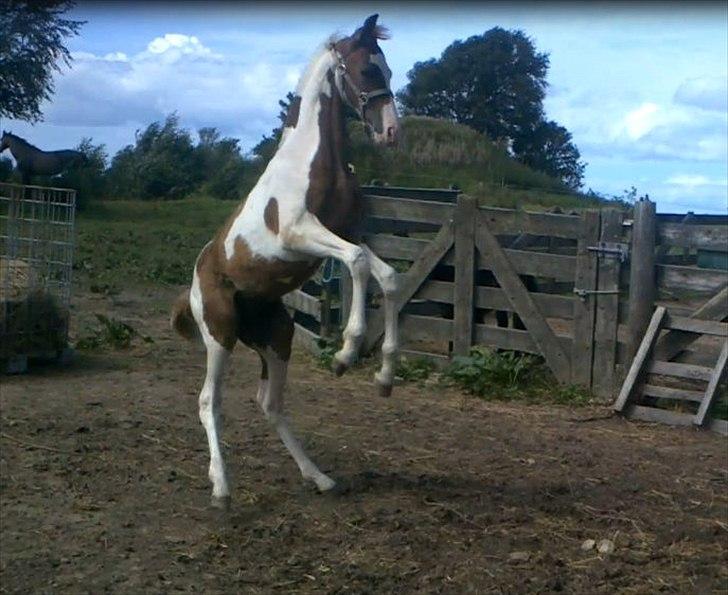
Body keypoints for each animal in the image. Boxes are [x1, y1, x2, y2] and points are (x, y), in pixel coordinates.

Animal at [171, 15, 398, 508]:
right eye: (367, 70)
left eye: (389, 70)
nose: (390, 132)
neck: (312, 161)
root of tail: (194, 283)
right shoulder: (300, 235)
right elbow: (357, 265)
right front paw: (346, 354)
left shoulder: (346, 233)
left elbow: (387, 276)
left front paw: (385, 376)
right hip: (220, 335)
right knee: (208, 402)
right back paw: (221, 487)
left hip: (277, 336)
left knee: (270, 404)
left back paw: (319, 477)